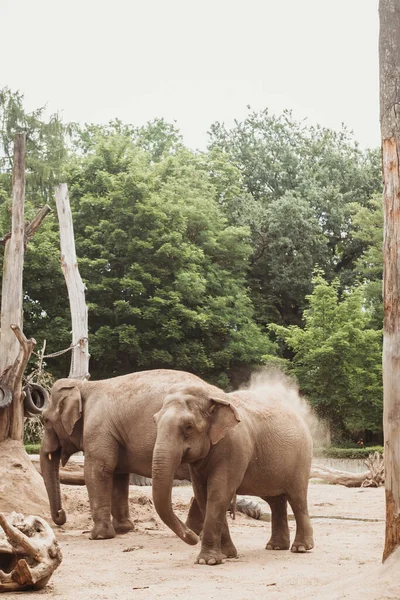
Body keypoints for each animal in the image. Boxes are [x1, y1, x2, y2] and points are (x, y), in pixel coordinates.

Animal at [152, 382, 314, 564]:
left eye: (189, 426)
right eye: (155, 421)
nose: (192, 537)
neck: (213, 398)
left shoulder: (234, 447)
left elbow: (219, 493)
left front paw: (208, 561)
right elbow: (202, 495)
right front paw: (227, 555)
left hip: (301, 459)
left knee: (297, 498)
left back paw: (300, 548)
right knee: (275, 500)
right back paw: (276, 547)